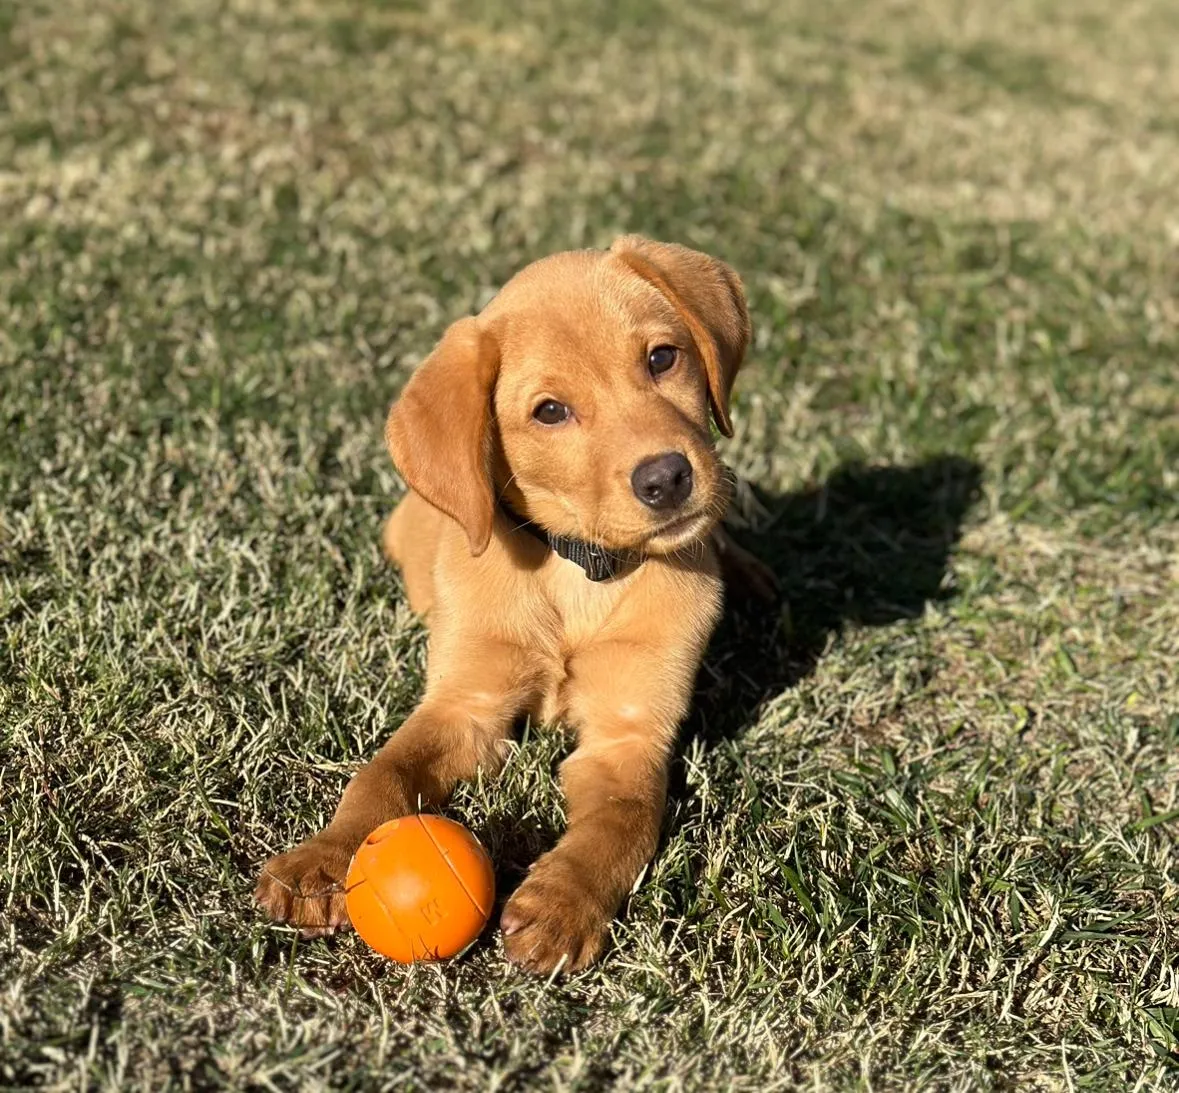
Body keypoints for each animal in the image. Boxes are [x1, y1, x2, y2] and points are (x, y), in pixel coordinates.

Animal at [253, 234, 759, 971]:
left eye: (662, 358)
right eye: (550, 411)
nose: (666, 477)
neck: (580, 570)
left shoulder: (628, 736)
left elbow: (620, 824)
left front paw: (562, 905)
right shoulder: (463, 705)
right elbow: (379, 774)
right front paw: (320, 862)